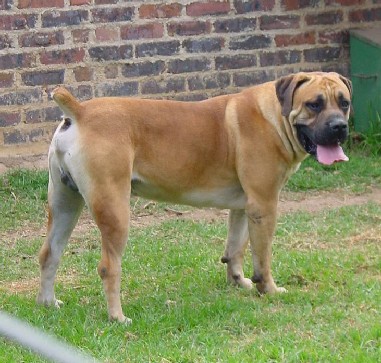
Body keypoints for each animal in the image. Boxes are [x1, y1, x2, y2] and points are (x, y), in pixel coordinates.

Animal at [37, 72, 350, 322]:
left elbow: (235, 248)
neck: (274, 115)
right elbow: (262, 257)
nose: (339, 126)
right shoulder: (264, 205)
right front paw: (269, 289)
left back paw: (48, 303)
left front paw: (238, 282)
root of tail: (79, 112)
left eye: (344, 102)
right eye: (314, 104)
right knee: (108, 267)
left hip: (65, 205)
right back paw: (118, 317)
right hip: (114, 211)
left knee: (50, 254)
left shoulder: (244, 207)